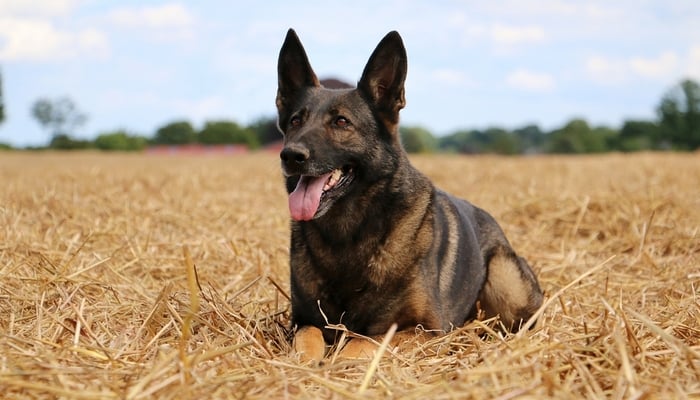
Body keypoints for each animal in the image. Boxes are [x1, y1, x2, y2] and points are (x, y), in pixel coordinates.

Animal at [276, 26, 544, 360]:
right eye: (295, 121)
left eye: (341, 122)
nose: (290, 155)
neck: (348, 234)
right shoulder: (303, 321)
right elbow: (307, 341)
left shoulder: (426, 330)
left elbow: (363, 342)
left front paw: (340, 361)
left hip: (505, 279)